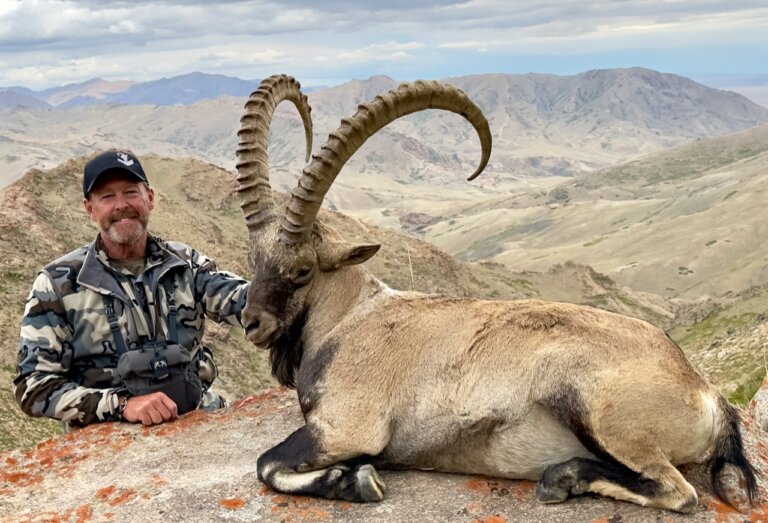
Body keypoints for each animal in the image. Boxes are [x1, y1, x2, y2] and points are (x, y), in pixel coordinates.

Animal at [235, 74, 758, 512]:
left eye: (303, 269)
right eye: (253, 258)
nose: (252, 322)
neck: (349, 321)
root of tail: (708, 396)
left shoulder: (347, 427)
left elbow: (267, 464)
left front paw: (357, 480)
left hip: (599, 408)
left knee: (679, 491)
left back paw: (561, 479)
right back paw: (563, 476)